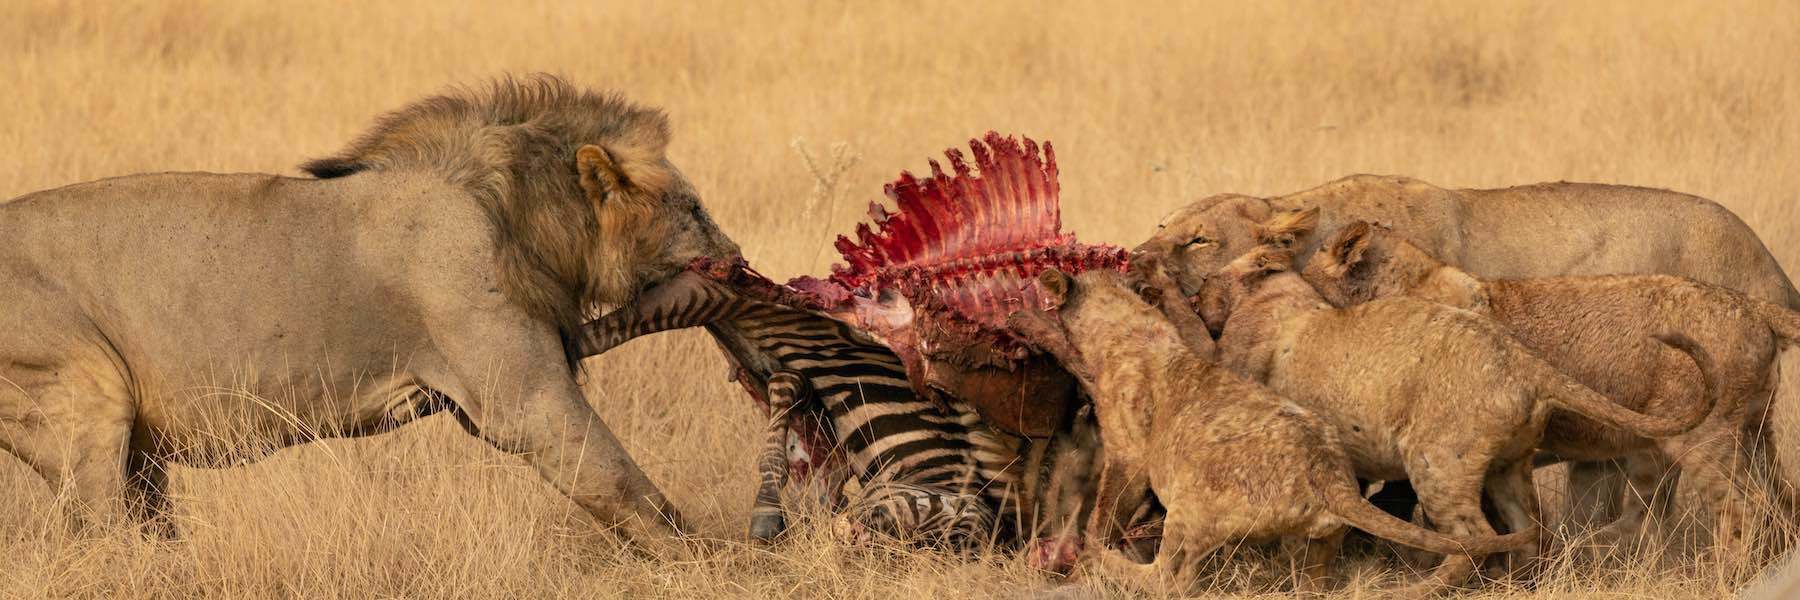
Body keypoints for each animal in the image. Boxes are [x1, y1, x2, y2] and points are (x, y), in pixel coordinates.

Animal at [0, 73, 738, 536]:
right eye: (694, 210)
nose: (736, 260)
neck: (515, 212)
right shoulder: (525, 402)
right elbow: (626, 487)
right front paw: (718, 564)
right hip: (84, 393)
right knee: (108, 535)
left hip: (134, 445)